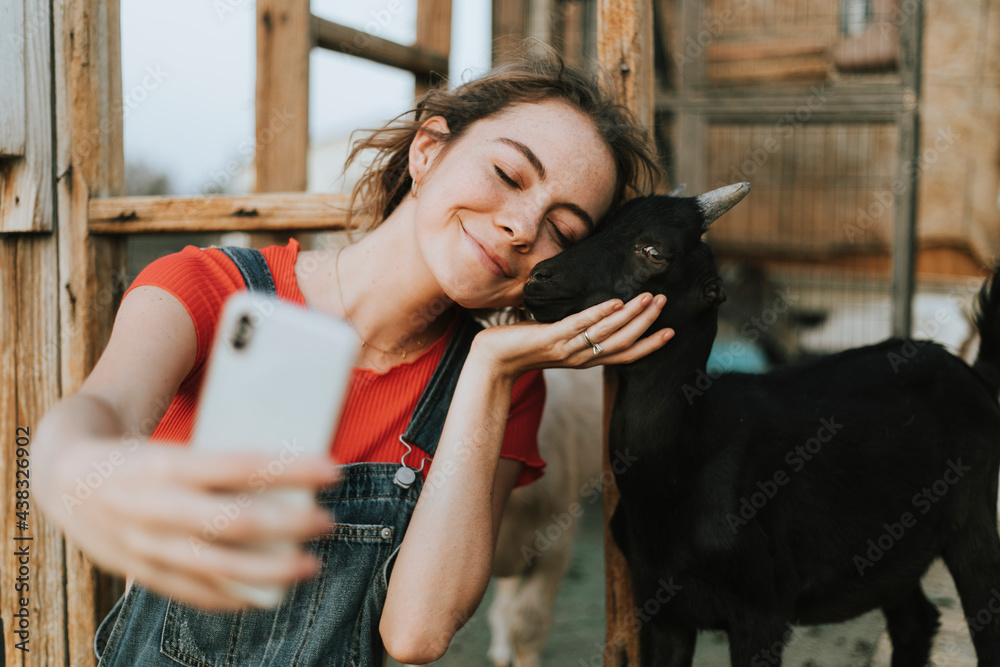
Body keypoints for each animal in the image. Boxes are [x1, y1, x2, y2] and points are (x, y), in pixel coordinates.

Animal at [520, 185, 1000, 667]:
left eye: (654, 252)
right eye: (598, 227)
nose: (538, 280)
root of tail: (976, 374)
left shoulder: (762, 612)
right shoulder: (662, 611)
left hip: (974, 517)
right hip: (894, 552)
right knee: (915, 621)